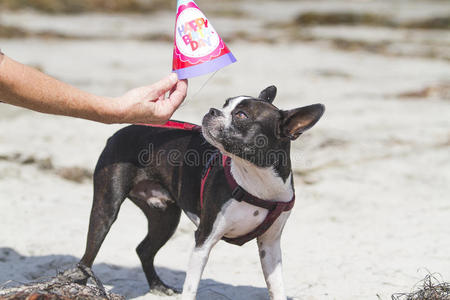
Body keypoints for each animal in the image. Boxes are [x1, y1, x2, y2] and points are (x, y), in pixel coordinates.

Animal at [76, 85, 324, 298]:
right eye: (225, 104)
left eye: (241, 115)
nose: (213, 110)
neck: (256, 178)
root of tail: (121, 130)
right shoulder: (203, 239)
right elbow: (191, 288)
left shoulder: (270, 246)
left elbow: (277, 287)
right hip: (106, 210)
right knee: (86, 259)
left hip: (165, 218)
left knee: (144, 249)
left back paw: (158, 286)